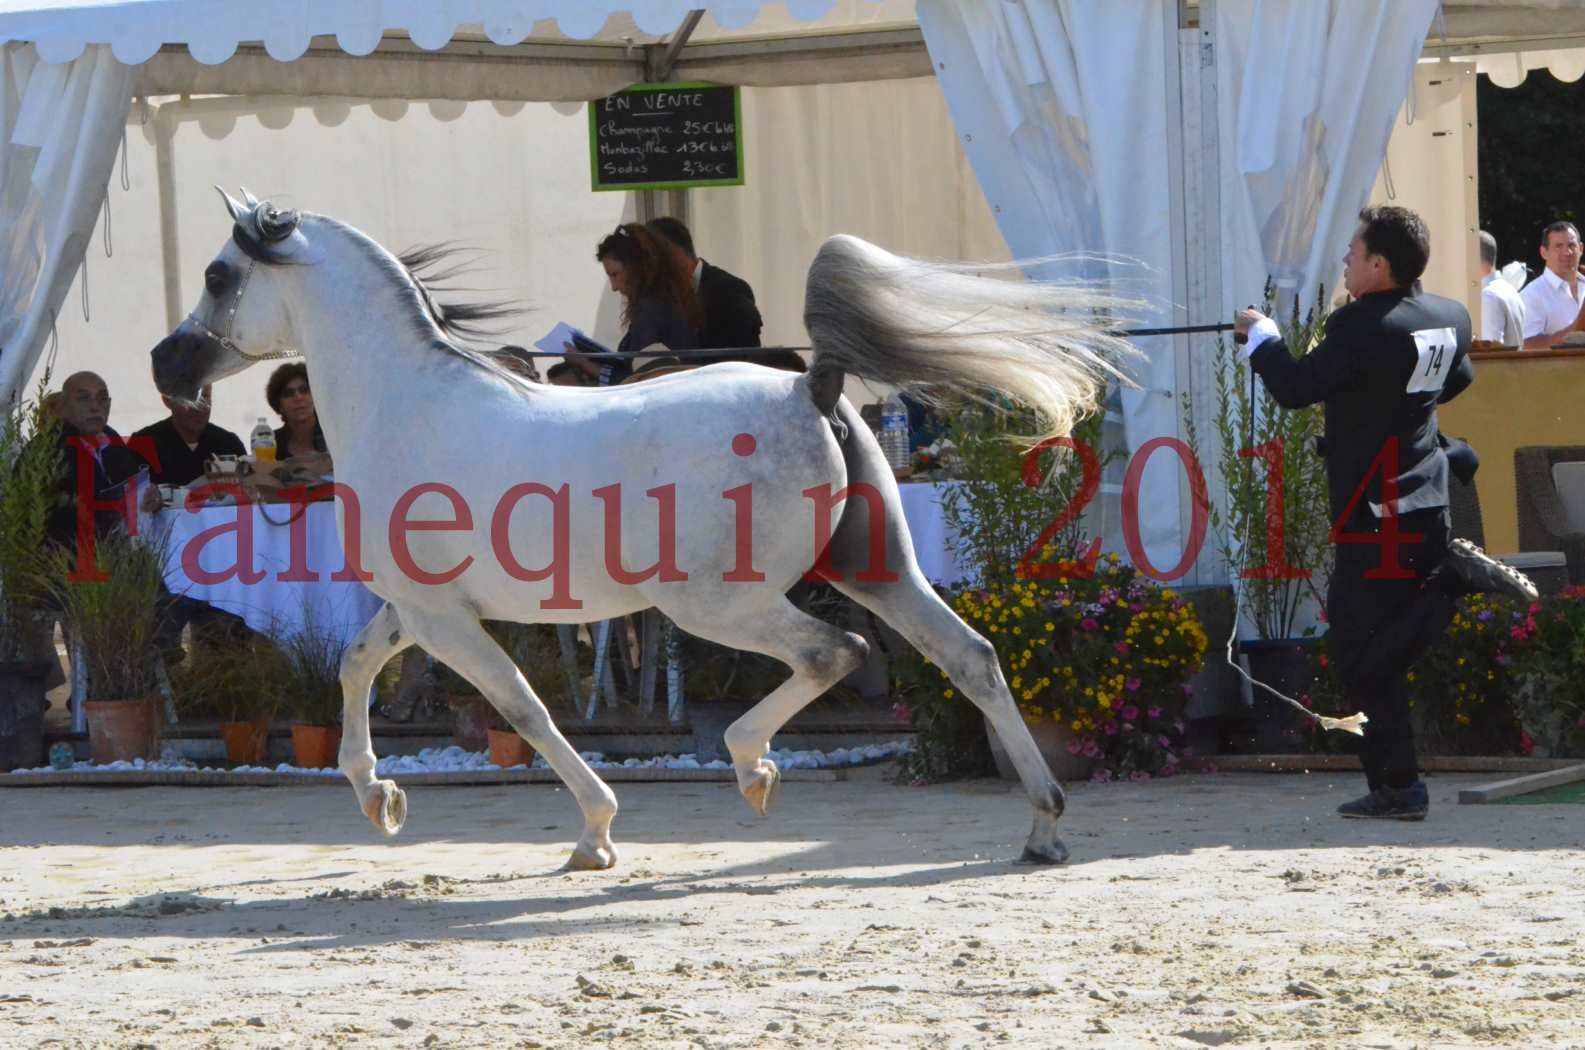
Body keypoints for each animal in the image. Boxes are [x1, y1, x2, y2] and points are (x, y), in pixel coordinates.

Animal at [148, 189, 1134, 869]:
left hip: (719, 605)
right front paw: (377, 799)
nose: (166, 363)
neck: (407, 404)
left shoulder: (443, 620)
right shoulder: (414, 609)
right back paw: (1042, 827)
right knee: (972, 657)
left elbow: (522, 706)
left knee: (837, 653)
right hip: (877, 569)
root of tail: (806, 386)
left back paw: (754, 771)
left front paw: (594, 834)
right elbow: (355, 669)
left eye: (217, 275)